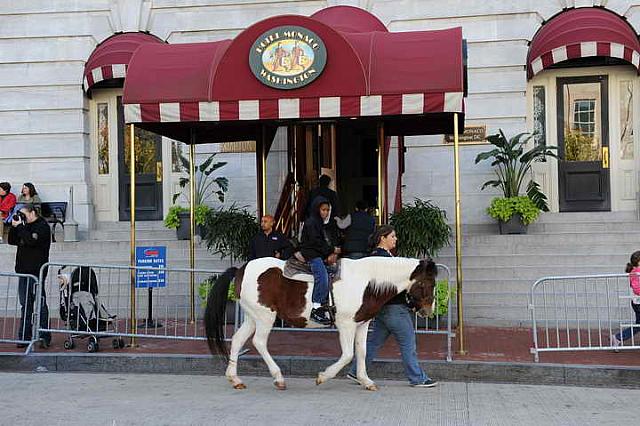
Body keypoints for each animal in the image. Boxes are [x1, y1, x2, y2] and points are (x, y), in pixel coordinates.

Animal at [208, 255, 438, 392]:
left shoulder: (361, 324)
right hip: (265, 316)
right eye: (426, 283)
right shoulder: (346, 324)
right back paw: (278, 378)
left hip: (252, 316)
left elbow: (362, 352)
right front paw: (323, 377)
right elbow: (348, 354)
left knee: (238, 340)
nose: (429, 311)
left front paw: (366, 380)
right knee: (259, 342)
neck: (367, 281)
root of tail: (241, 269)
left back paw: (235, 379)